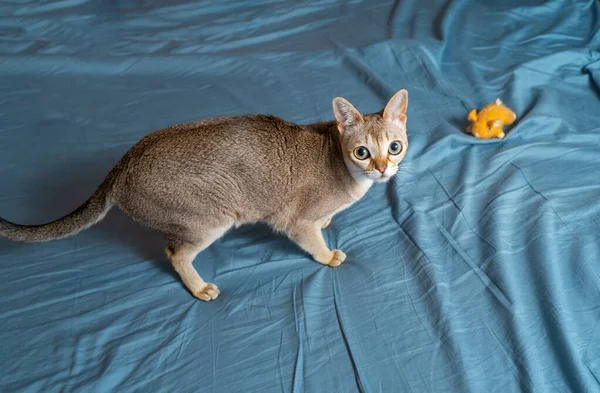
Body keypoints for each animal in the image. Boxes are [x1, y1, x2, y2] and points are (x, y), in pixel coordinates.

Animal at [0, 89, 408, 300]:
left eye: (395, 147)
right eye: (362, 152)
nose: (383, 169)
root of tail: (124, 163)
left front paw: (328, 225)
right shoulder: (295, 221)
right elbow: (312, 240)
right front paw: (327, 255)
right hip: (208, 219)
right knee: (174, 252)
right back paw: (199, 288)